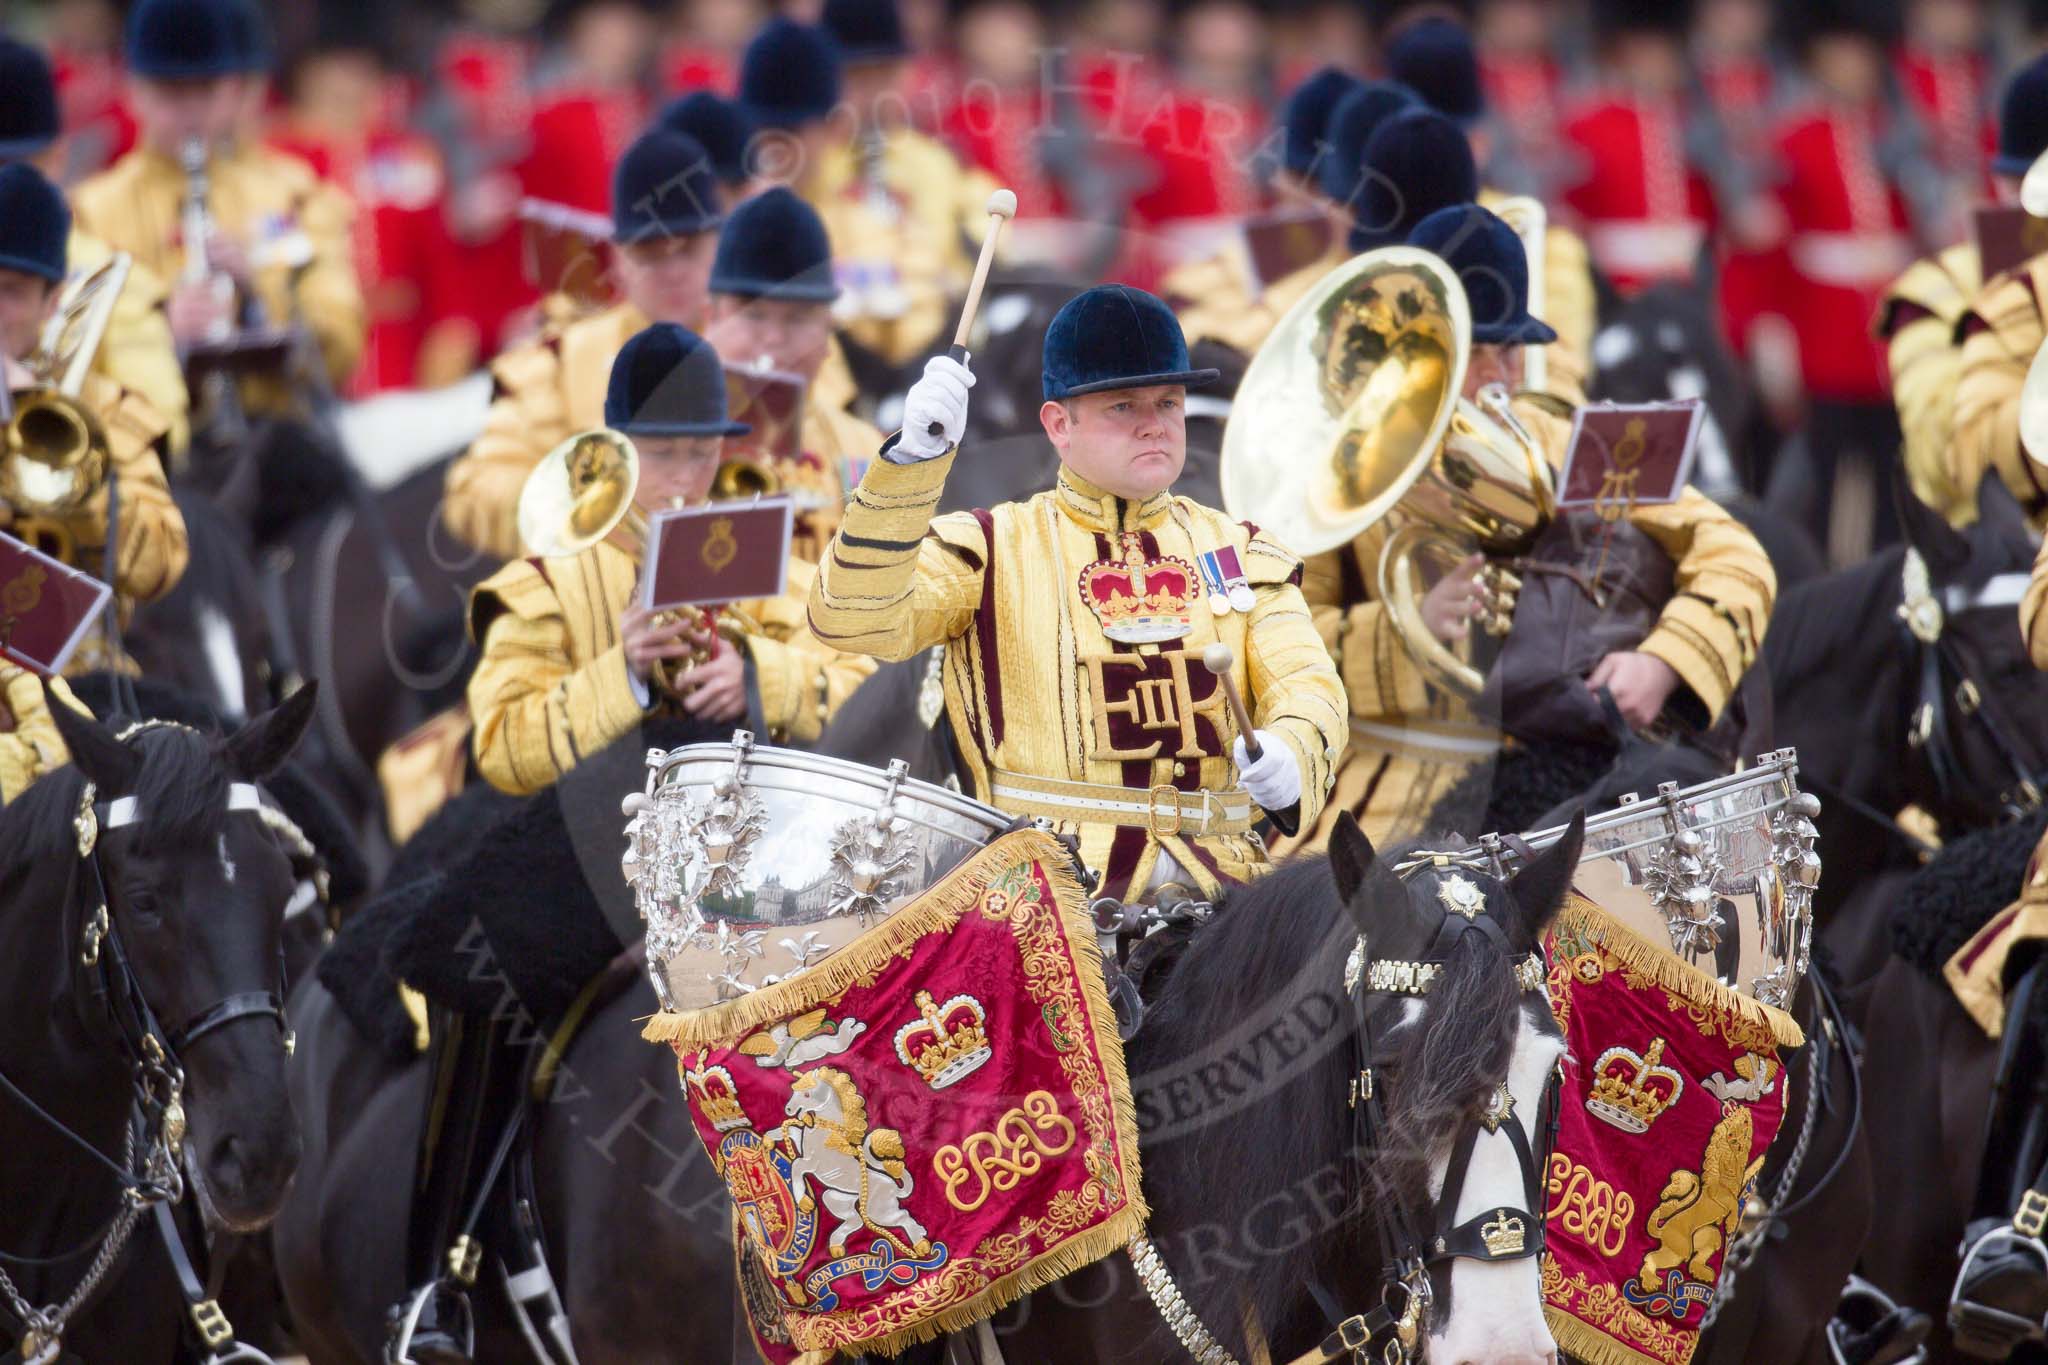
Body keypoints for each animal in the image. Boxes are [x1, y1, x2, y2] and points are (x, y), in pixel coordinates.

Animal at [770, 1064, 933, 1260]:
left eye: (807, 1094)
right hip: (836, 1198)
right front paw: (767, 1140)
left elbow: (796, 1166)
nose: (788, 1109)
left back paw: (921, 1245)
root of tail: (894, 1187)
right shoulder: (803, 1146)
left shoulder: (812, 1163)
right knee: (856, 1220)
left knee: (903, 1216)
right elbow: (791, 1130)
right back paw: (836, 1247)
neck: (826, 1134)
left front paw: (804, 1203)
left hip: (878, 1210)